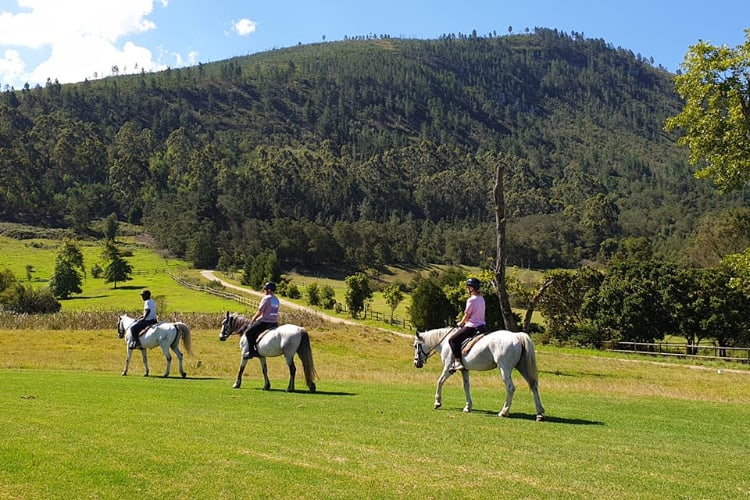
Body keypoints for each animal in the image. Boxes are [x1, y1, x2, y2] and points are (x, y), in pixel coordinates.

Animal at [413, 327, 545, 421]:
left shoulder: (447, 368)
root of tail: (516, 336)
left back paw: (504, 412)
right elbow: (466, 386)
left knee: (510, 388)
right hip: (522, 367)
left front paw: (437, 402)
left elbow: (439, 381)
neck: (445, 342)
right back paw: (539, 413)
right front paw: (468, 407)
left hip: (505, 369)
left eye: (415, 346)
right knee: (534, 385)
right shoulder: (464, 370)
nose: (416, 363)